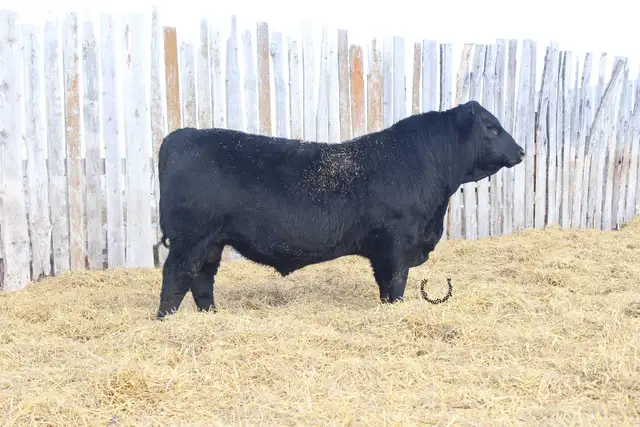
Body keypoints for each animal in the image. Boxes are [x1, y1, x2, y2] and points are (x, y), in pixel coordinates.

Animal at [155, 100, 525, 319]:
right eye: (491, 127)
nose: (521, 151)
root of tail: (180, 136)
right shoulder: (396, 243)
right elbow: (395, 284)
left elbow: (385, 286)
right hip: (191, 237)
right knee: (176, 277)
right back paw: (164, 320)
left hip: (211, 241)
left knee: (202, 280)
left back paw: (211, 316)